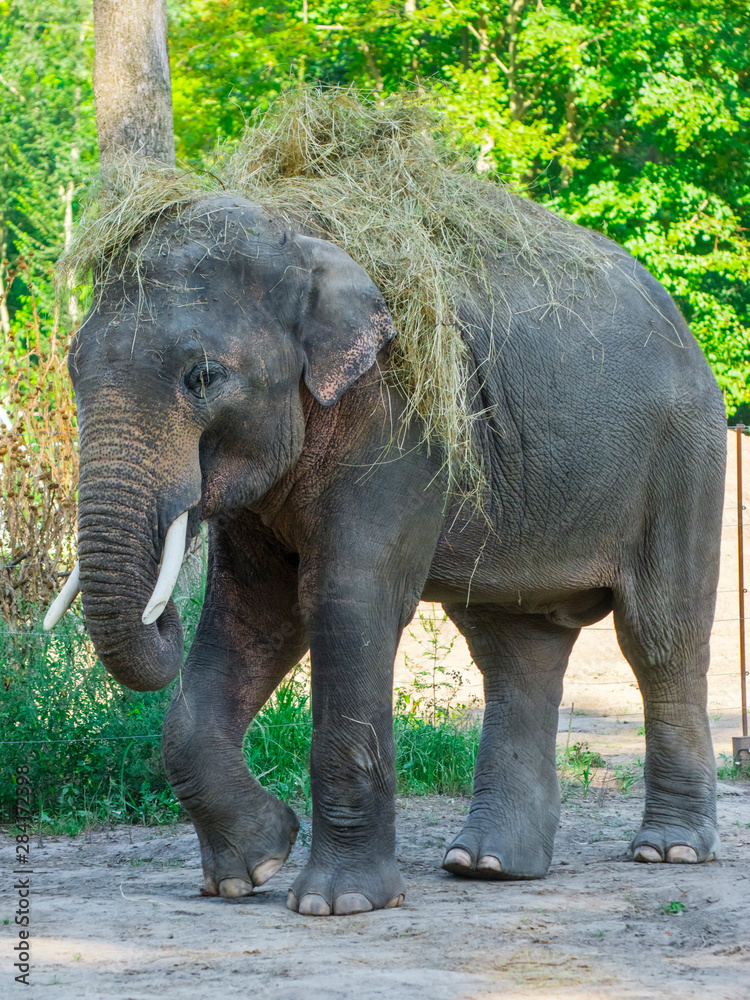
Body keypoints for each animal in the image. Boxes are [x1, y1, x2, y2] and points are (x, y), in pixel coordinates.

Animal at [47, 190, 725, 917]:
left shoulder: (400, 421)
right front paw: (250, 868)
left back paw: (668, 851)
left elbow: (346, 601)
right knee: (514, 647)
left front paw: (336, 904)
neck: (302, 235)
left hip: (684, 458)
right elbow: (254, 612)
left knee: (660, 638)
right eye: (73, 367)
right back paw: (486, 866)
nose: (161, 610)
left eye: (202, 377)